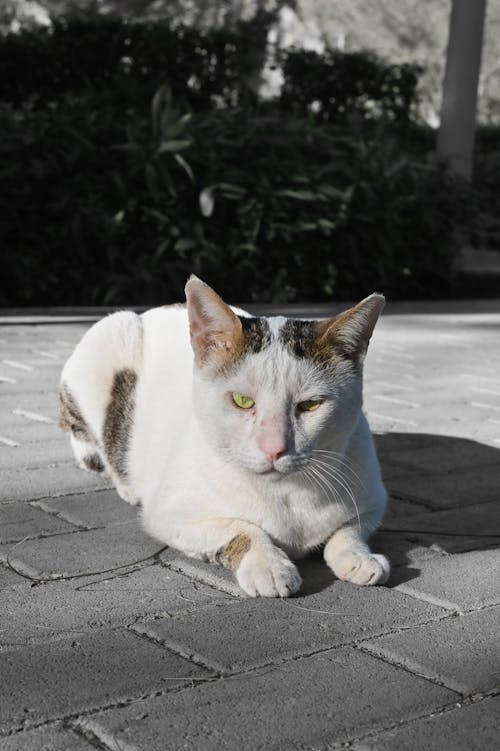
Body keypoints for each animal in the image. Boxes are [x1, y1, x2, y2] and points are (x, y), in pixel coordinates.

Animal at [59, 276, 390, 600]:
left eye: (310, 405)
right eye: (243, 401)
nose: (274, 448)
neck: (286, 494)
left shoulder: (374, 499)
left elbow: (350, 529)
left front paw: (359, 557)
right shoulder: (168, 515)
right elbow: (240, 526)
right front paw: (268, 564)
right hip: (108, 338)